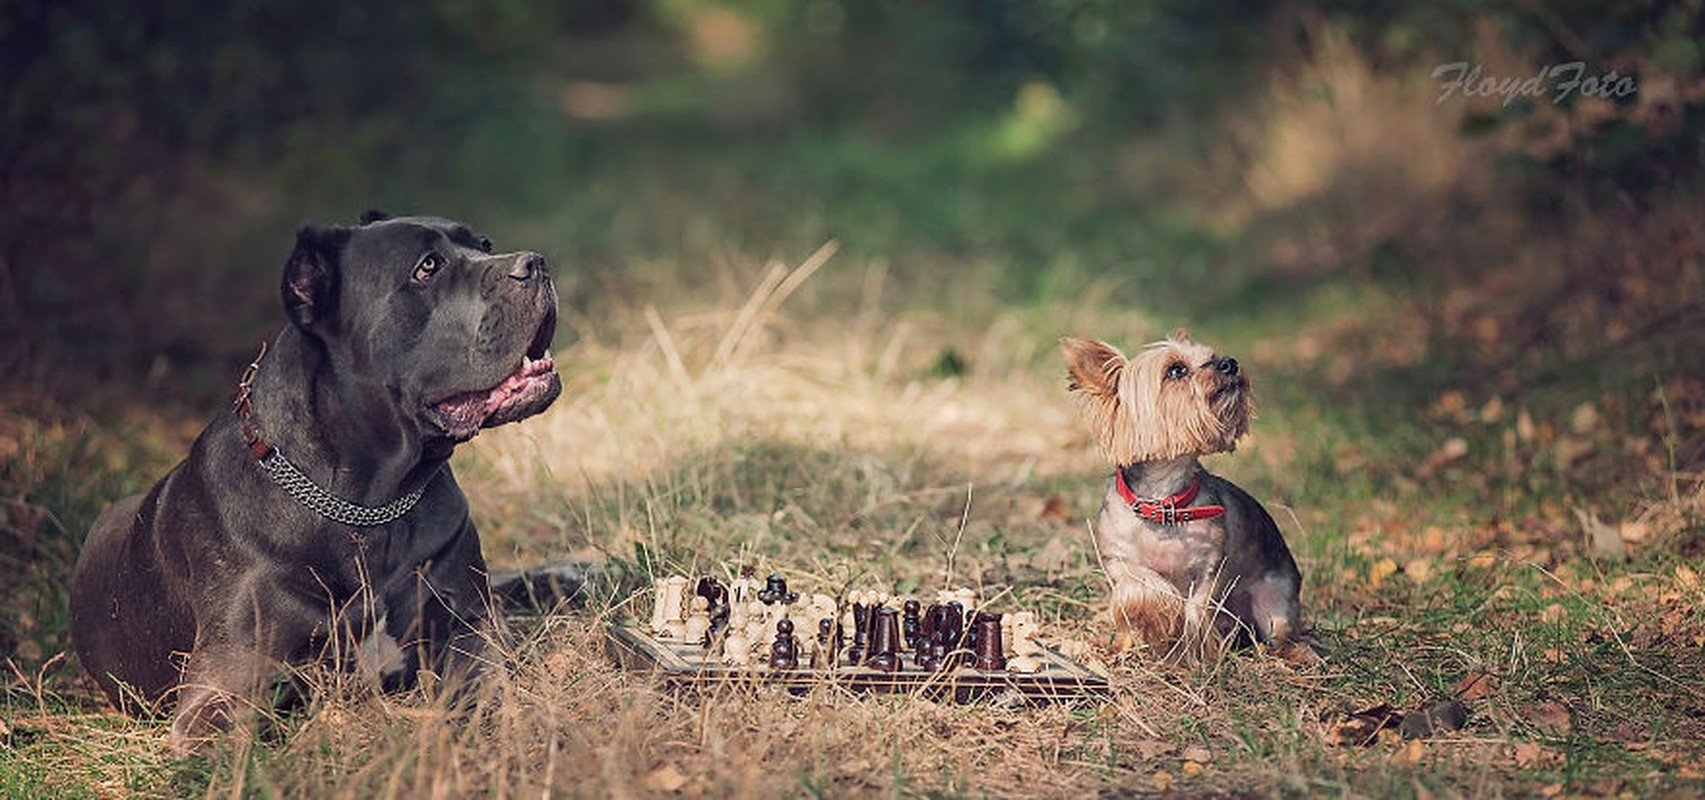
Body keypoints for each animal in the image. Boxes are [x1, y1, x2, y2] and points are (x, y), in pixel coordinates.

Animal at [69, 208, 562, 750]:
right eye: (427, 267)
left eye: (484, 245)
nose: (536, 263)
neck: (370, 505)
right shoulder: (223, 689)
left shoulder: (470, 623)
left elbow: (482, 681)